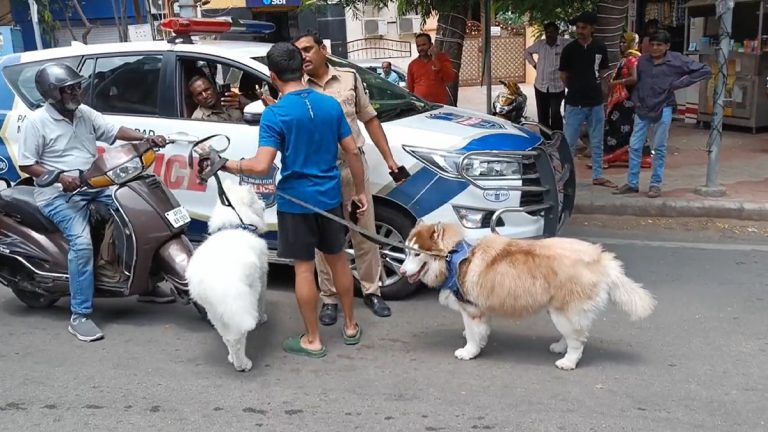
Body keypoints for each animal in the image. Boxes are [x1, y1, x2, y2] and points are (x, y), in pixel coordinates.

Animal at [187, 179, 268, 372]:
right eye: (256, 198)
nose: (263, 203)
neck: (235, 224)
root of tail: (217, 281)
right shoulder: (263, 278)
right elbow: (262, 303)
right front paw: (262, 319)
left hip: (216, 312)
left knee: (228, 338)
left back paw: (233, 358)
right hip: (243, 301)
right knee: (238, 338)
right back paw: (242, 364)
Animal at [400, 221, 656, 370]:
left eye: (416, 254)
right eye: (406, 252)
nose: (401, 271)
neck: (453, 257)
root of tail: (602, 258)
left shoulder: (471, 309)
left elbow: (472, 334)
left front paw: (469, 351)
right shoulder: (482, 308)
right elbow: (480, 331)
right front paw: (478, 343)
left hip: (565, 312)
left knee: (578, 339)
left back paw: (568, 361)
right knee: (572, 335)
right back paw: (560, 347)